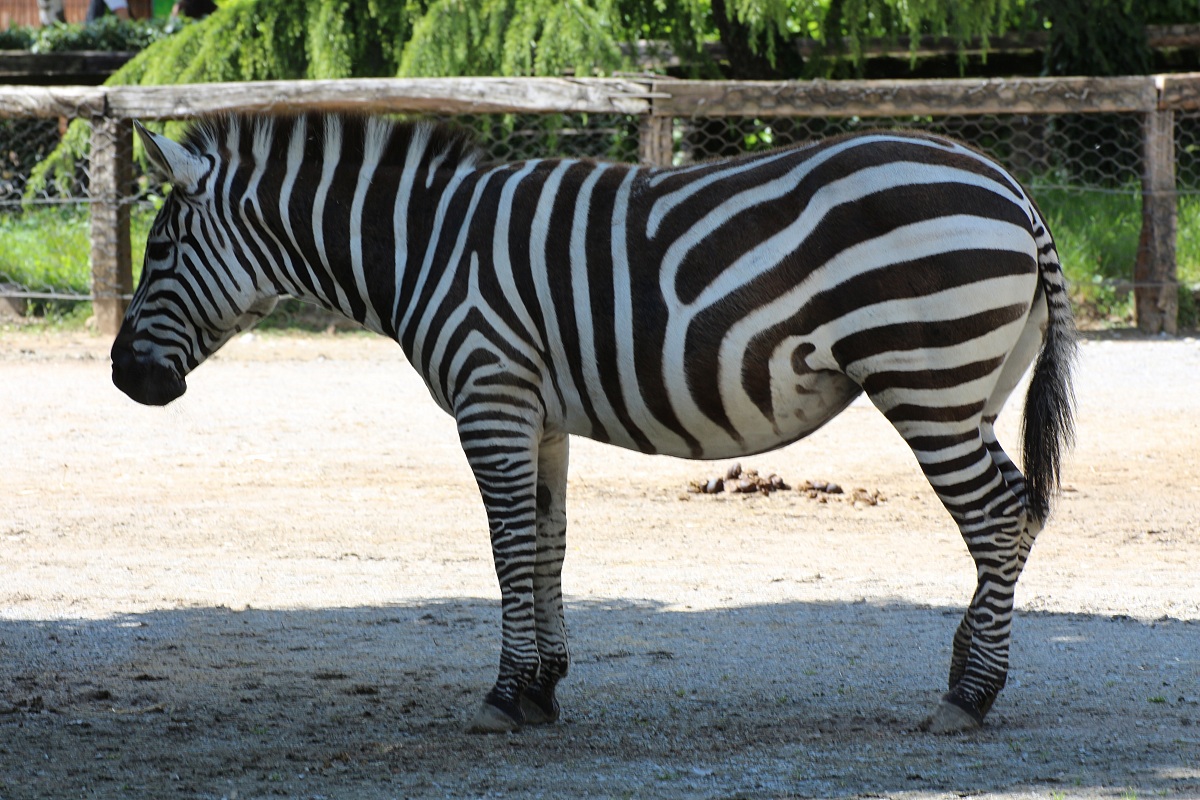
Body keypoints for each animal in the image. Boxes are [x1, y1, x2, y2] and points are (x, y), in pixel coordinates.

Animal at [111, 112, 1075, 735]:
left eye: (160, 250)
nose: (124, 378)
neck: (423, 248)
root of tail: (1012, 191)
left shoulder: (491, 396)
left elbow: (506, 547)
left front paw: (504, 697)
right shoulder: (539, 415)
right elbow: (548, 543)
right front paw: (543, 688)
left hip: (926, 379)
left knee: (995, 518)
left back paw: (968, 697)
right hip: (974, 389)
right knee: (1020, 513)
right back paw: (972, 671)